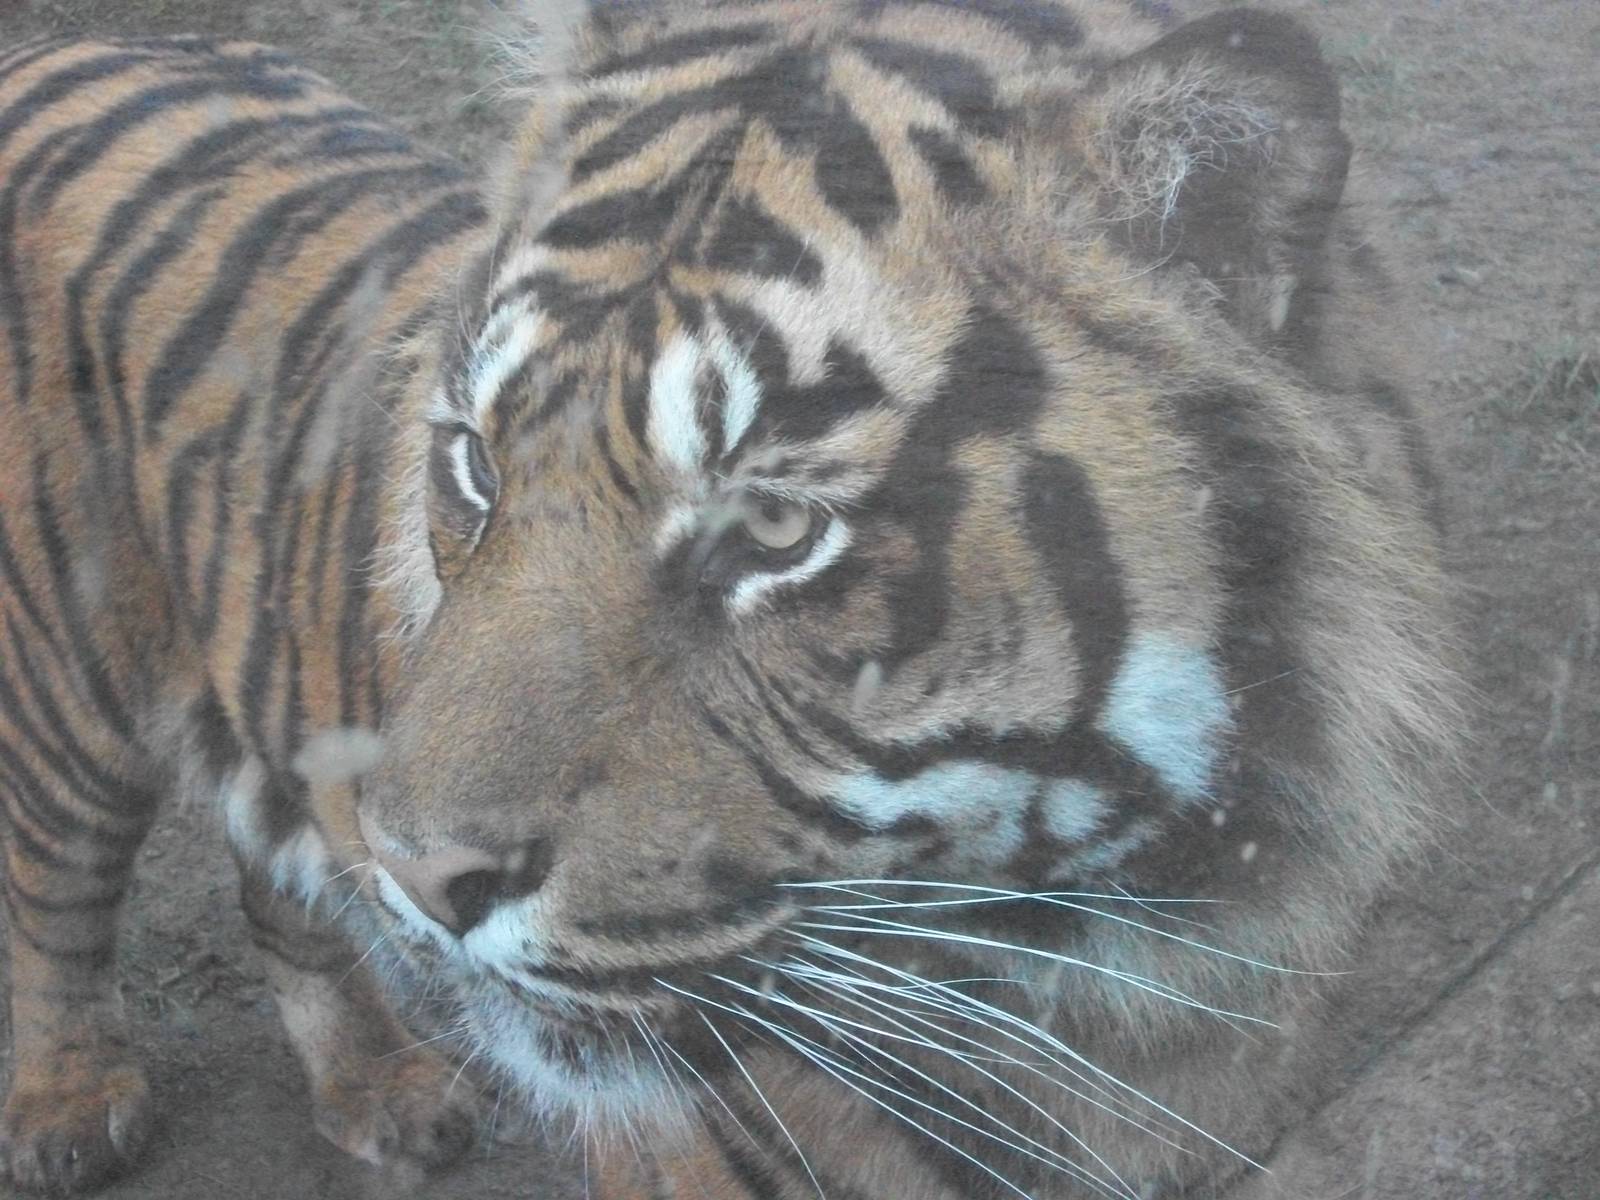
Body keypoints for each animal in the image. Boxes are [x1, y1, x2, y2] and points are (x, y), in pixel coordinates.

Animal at [0, 1, 1460, 1197]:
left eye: (773, 529)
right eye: (477, 463)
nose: (417, 872)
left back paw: (385, 1094)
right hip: (67, 711)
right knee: (51, 905)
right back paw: (71, 1115)